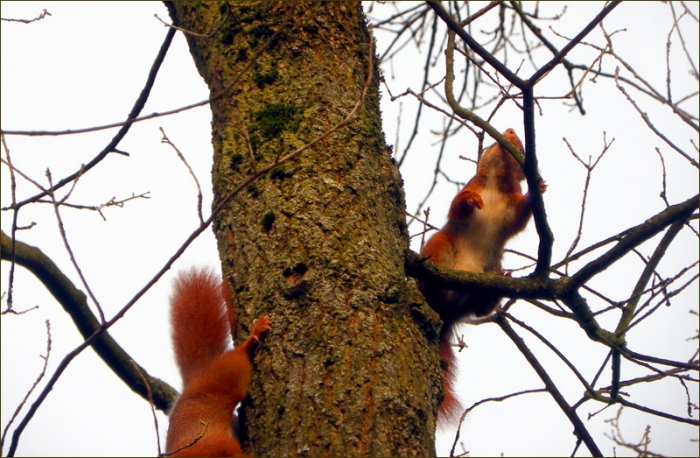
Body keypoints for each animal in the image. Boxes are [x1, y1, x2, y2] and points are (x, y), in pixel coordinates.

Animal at [165, 267, 271, 457]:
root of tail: (197, 378)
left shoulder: (215, 445)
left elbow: (231, 449)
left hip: (226, 375)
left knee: (238, 357)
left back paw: (254, 335)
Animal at [418, 128, 545, 427]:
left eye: (520, 144)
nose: (509, 130)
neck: (496, 184)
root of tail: (446, 313)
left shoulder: (511, 208)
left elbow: (518, 218)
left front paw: (537, 192)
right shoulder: (470, 186)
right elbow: (457, 206)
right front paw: (469, 202)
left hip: (486, 273)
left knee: (479, 309)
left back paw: (494, 290)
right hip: (442, 245)